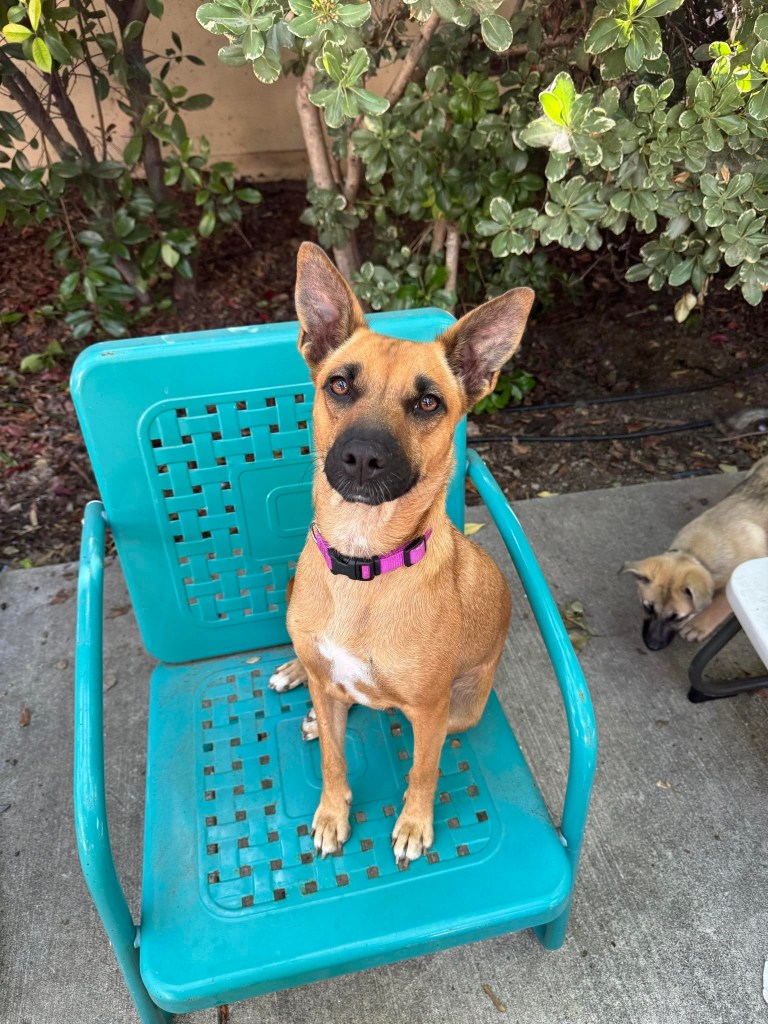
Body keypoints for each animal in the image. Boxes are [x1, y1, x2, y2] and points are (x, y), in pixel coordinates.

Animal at [269, 242, 534, 864]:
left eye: (429, 402)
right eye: (340, 386)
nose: (363, 457)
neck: (363, 563)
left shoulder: (431, 714)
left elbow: (423, 772)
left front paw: (414, 824)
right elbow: (334, 761)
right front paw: (332, 811)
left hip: (462, 710)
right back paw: (301, 680)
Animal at [623, 456, 768, 651]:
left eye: (679, 618)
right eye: (648, 608)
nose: (653, 646)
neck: (695, 553)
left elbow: (722, 602)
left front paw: (698, 626)